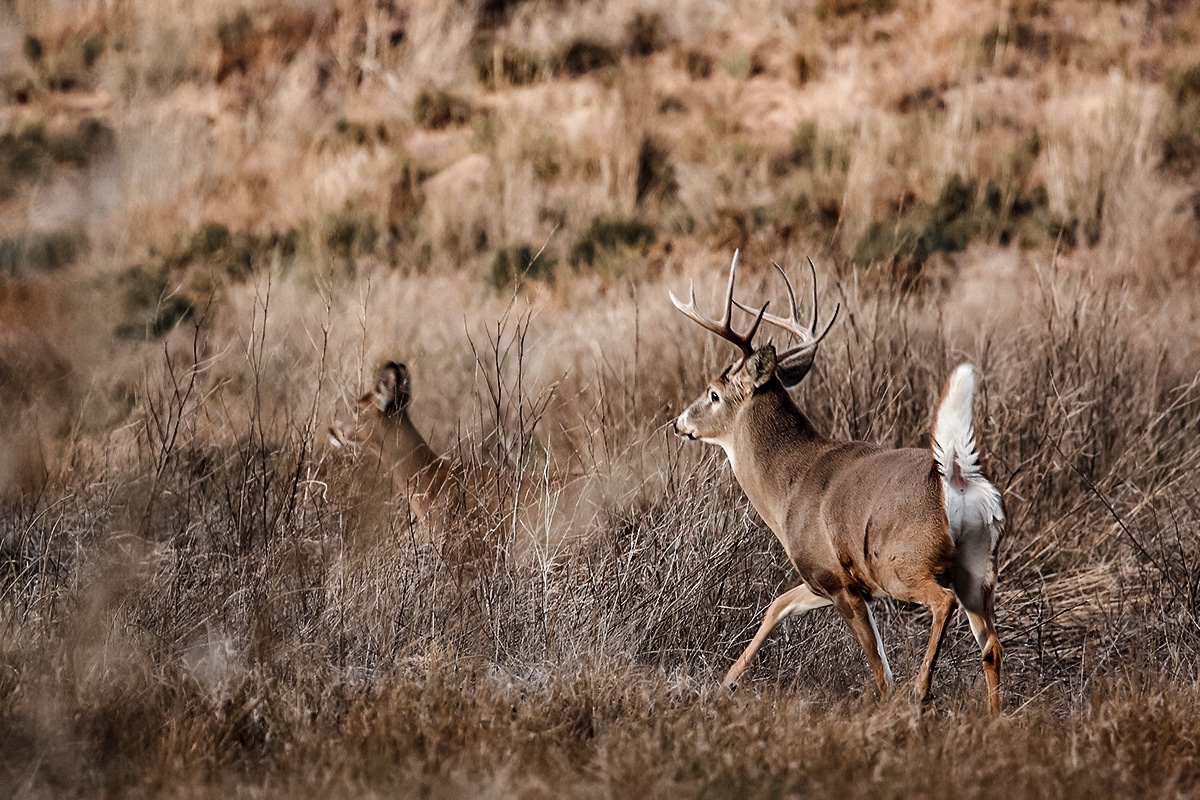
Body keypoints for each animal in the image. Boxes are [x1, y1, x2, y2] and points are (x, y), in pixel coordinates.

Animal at [676, 253, 1003, 714]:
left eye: (713, 394)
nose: (678, 423)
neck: (788, 486)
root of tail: (954, 475)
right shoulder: (826, 578)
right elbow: (777, 605)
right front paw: (727, 682)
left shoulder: (836, 577)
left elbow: (879, 667)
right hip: (977, 568)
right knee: (990, 644)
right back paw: (994, 717)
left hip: (903, 562)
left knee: (943, 602)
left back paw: (921, 691)